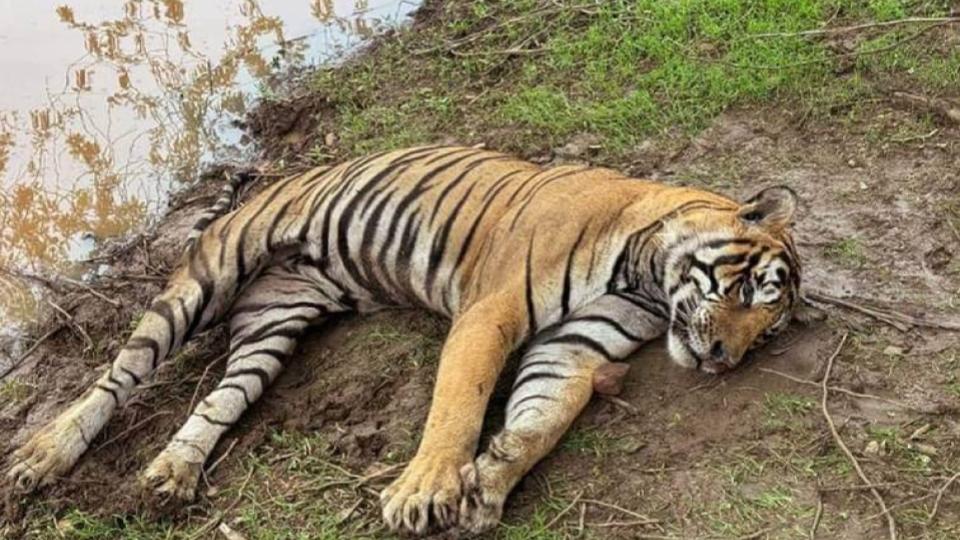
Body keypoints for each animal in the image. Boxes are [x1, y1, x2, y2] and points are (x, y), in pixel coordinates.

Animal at [7, 144, 801, 535]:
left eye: (767, 334)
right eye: (743, 292)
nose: (724, 359)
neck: (643, 275)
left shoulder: (576, 347)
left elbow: (540, 420)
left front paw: (489, 481)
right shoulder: (490, 312)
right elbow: (458, 401)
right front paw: (426, 490)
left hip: (271, 328)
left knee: (217, 402)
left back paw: (172, 474)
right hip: (206, 280)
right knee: (119, 373)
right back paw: (44, 454)